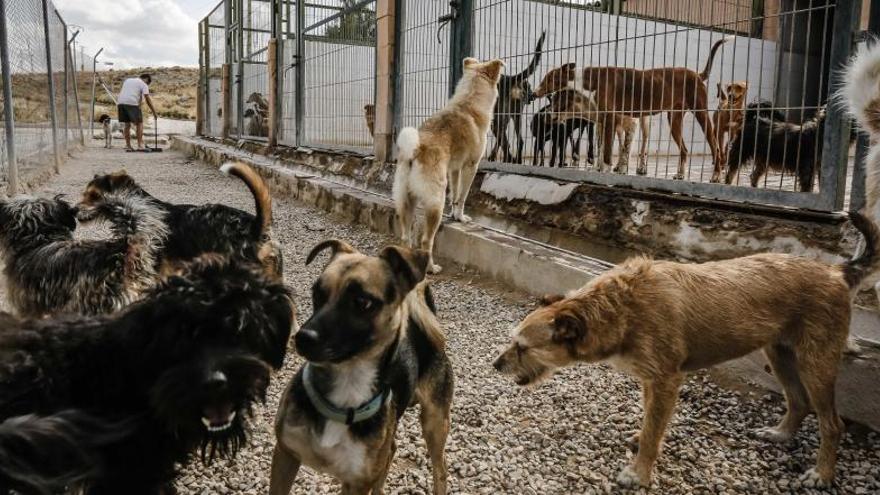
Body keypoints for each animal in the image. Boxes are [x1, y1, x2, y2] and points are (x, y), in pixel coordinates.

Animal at [270, 242, 454, 495]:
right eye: (317, 293)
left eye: (362, 302)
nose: (302, 338)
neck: (348, 383)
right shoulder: (285, 454)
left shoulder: (356, 484)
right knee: (391, 450)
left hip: (435, 422)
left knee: (440, 469)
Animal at [396, 58, 506, 276]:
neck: (469, 102)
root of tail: (414, 149)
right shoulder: (470, 166)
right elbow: (462, 196)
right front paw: (461, 217)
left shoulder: (454, 169)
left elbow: (454, 195)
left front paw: (454, 215)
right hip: (434, 203)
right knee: (425, 240)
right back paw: (432, 268)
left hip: (407, 201)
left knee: (406, 236)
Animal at [496, 212, 880, 488]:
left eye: (522, 347)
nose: (495, 365)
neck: (621, 307)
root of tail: (837, 271)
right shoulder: (650, 381)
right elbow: (650, 422)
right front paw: (641, 442)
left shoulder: (666, 380)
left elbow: (654, 430)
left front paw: (638, 473)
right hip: (779, 353)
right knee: (798, 401)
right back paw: (781, 434)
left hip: (817, 362)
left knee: (832, 423)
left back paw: (822, 475)